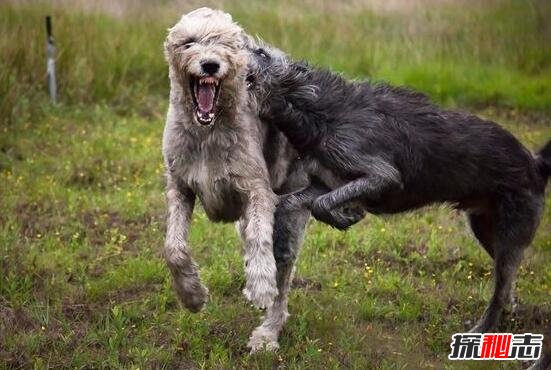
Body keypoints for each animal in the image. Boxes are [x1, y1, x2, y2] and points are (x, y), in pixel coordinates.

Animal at [248, 44, 551, 360]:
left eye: (261, 51)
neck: (317, 108)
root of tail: (537, 164)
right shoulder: (323, 183)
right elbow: (297, 202)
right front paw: (339, 215)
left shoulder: (380, 172)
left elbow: (327, 202)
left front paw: (348, 215)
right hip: (487, 230)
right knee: (507, 282)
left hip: (511, 233)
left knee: (500, 291)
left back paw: (482, 332)